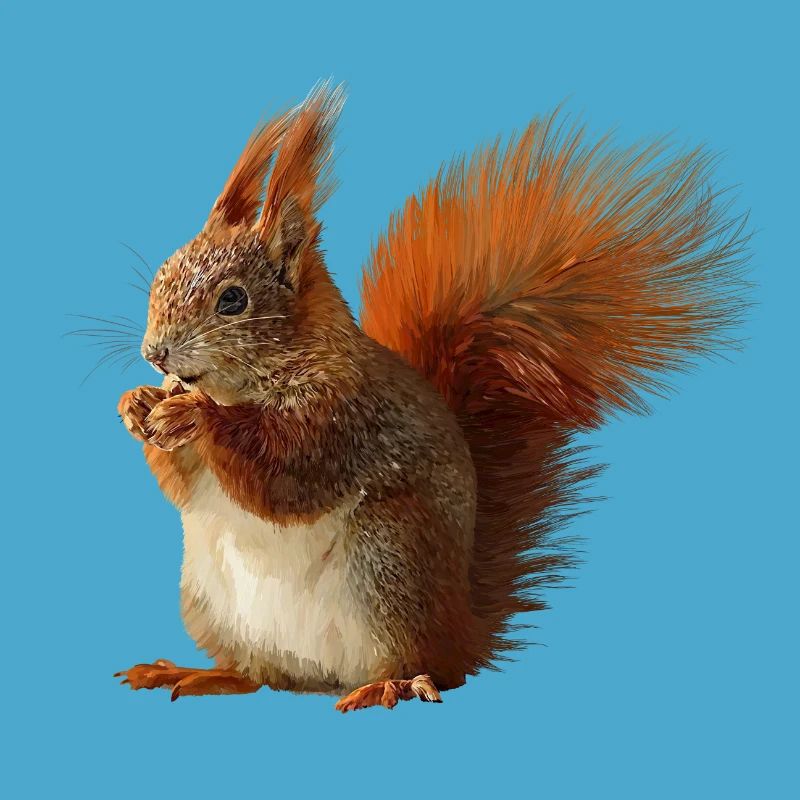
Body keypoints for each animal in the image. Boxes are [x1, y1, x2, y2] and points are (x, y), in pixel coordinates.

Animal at [113, 82, 748, 711]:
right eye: (163, 273)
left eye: (233, 300)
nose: (155, 353)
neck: (245, 385)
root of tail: (462, 629)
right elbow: (182, 486)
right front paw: (137, 404)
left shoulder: (343, 419)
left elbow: (282, 475)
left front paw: (194, 414)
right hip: (213, 602)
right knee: (263, 675)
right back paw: (201, 673)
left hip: (390, 560)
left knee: (426, 667)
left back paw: (389, 685)